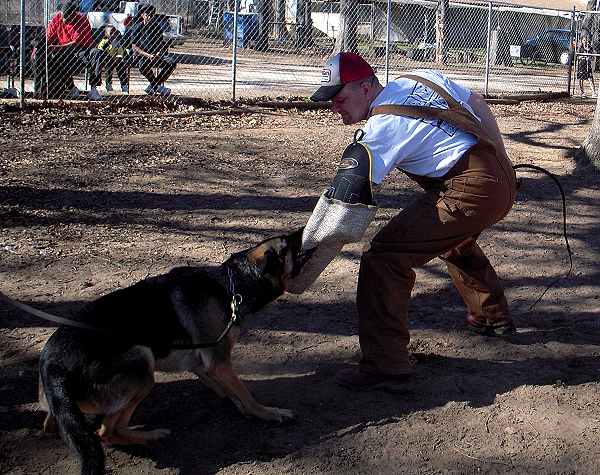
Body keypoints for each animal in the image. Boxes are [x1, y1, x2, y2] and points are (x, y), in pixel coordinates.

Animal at [3, 229, 314, 474]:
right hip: (143, 366)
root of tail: (52, 364)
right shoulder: (219, 361)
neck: (231, 285)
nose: (302, 229)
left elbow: (229, 390)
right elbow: (245, 393)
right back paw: (151, 436)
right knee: (107, 432)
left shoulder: (205, 364)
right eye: (287, 244)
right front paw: (267, 413)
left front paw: (240, 405)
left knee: (55, 424)